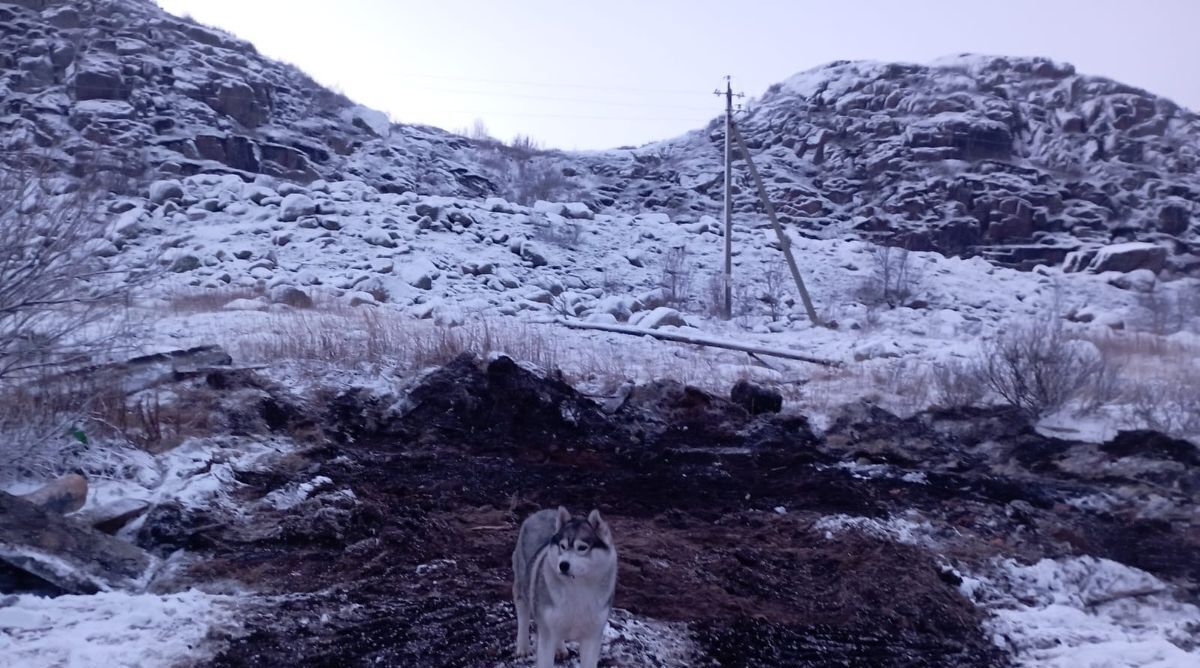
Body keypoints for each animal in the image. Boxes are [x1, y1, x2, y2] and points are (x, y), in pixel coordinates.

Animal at [511, 506, 619, 666]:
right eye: (562, 546)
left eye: (582, 547)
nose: (562, 565)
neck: (578, 588)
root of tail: (542, 511)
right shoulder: (547, 635)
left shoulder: (592, 638)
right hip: (522, 587)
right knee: (523, 616)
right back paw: (523, 647)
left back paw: (560, 648)